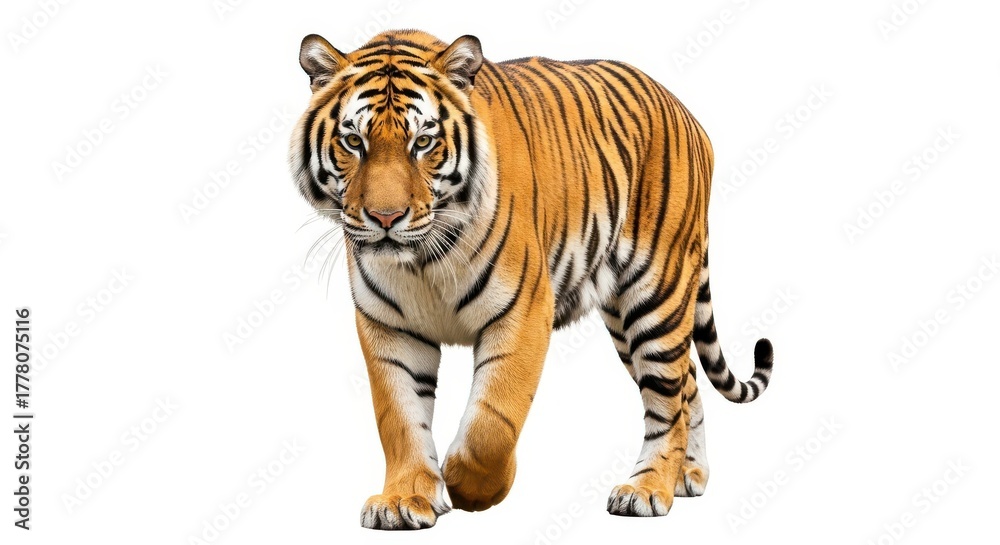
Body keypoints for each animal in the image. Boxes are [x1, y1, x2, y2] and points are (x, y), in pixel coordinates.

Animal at [288, 29, 774, 530]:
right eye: (353, 141)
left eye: (423, 142)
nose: (386, 218)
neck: (422, 260)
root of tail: (686, 112)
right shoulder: (389, 327)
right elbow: (399, 419)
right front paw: (405, 499)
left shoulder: (522, 310)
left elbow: (492, 424)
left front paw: (466, 486)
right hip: (625, 317)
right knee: (687, 384)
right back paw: (688, 475)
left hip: (657, 294)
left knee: (667, 401)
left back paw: (647, 489)